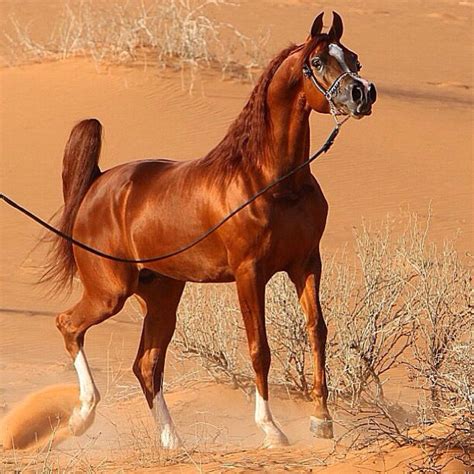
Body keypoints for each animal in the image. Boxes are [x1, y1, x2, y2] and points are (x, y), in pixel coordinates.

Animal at [45, 12, 378, 448]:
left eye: (353, 58)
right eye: (318, 61)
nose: (363, 93)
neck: (273, 181)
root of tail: (97, 185)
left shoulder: (306, 264)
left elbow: (316, 332)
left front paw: (321, 420)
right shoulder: (249, 273)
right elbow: (259, 348)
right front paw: (271, 430)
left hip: (162, 296)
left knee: (147, 365)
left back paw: (172, 443)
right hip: (109, 293)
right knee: (69, 325)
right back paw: (83, 416)